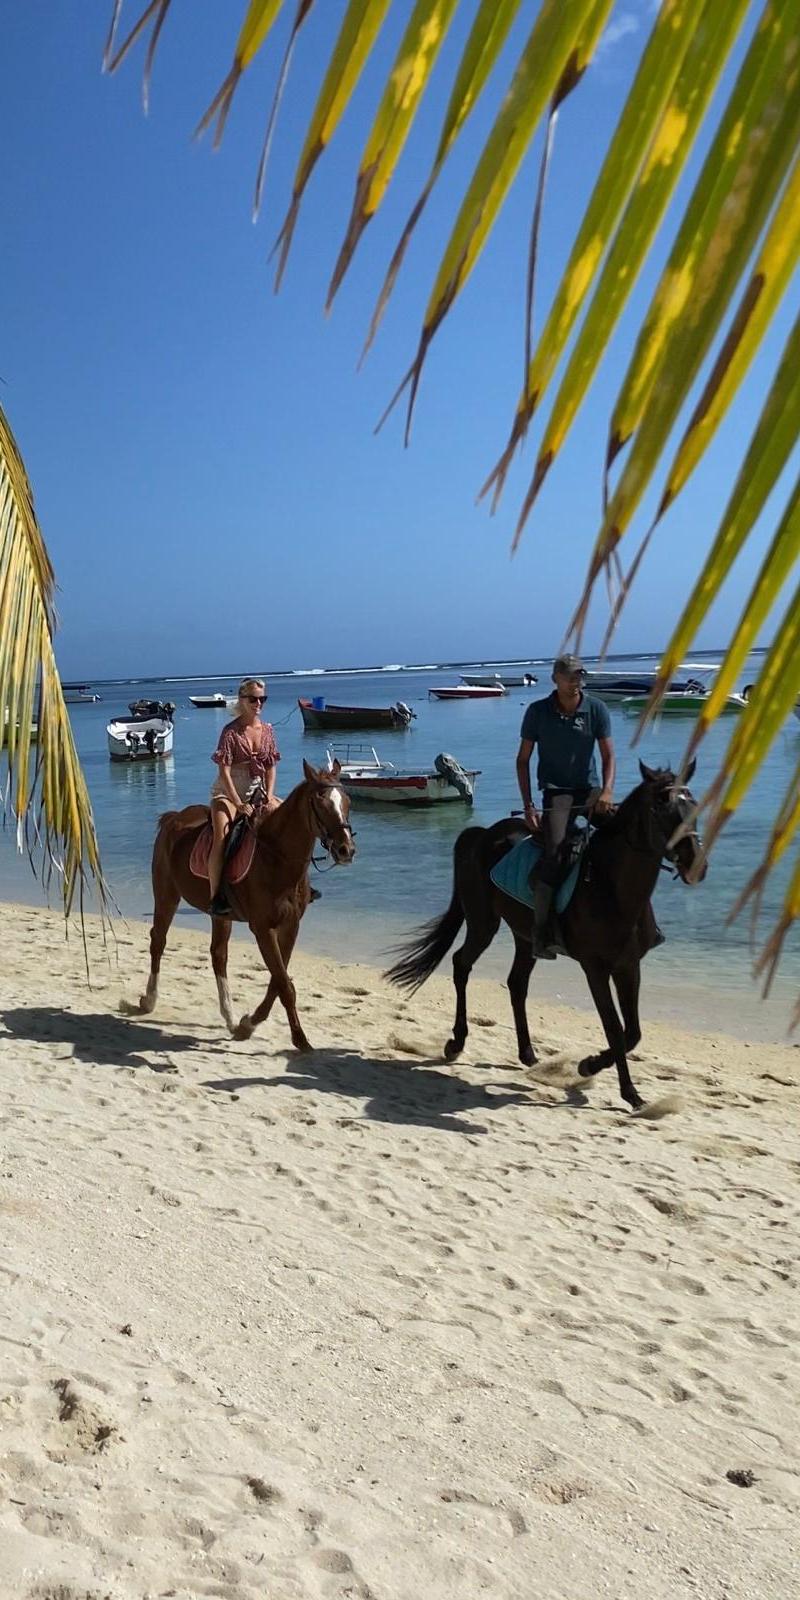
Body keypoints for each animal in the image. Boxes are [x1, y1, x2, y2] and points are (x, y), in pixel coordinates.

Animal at [124, 760, 355, 1049]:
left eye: (347, 801)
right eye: (320, 802)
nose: (346, 849)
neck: (276, 858)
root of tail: (174, 818)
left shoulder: (290, 927)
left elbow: (277, 981)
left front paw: (248, 1024)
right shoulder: (263, 929)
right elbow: (283, 983)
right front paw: (299, 1039)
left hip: (219, 915)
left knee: (218, 955)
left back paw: (230, 1017)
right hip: (166, 895)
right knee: (159, 941)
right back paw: (149, 1000)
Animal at [386, 762, 706, 1110]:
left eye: (694, 805)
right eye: (662, 808)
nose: (696, 864)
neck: (611, 887)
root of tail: (481, 835)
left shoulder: (629, 965)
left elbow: (632, 1032)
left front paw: (593, 1067)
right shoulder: (595, 968)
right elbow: (614, 1028)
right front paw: (620, 1086)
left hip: (526, 937)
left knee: (516, 983)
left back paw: (527, 1053)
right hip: (484, 923)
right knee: (462, 964)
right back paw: (456, 1042)